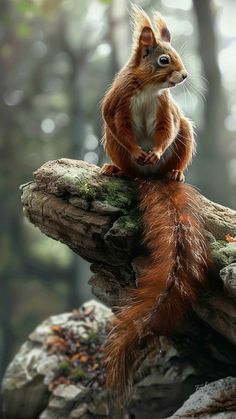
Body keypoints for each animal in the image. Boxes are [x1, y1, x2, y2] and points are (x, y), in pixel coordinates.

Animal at [100, 5, 209, 400]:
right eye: (163, 59)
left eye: (176, 55)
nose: (184, 75)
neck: (150, 89)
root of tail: (152, 179)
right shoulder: (117, 103)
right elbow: (116, 123)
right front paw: (138, 151)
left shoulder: (167, 110)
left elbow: (167, 129)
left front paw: (157, 150)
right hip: (112, 146)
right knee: (122, 155)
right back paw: (118, 169)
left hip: (187, 136)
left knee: (179, 139)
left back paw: (174, 174)